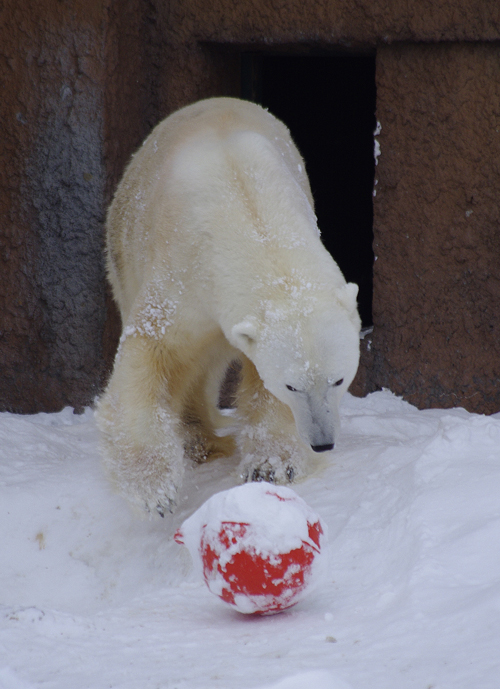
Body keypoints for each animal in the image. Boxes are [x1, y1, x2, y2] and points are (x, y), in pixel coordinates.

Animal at [96, 98, 360, 516]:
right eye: (292, 384)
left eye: (339, 379)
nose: (322, 441)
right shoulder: (180, 274)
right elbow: (151, 353)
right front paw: (154, 488)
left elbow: (260, 383)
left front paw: (271, 466)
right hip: (122, 253)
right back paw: (198, 442)